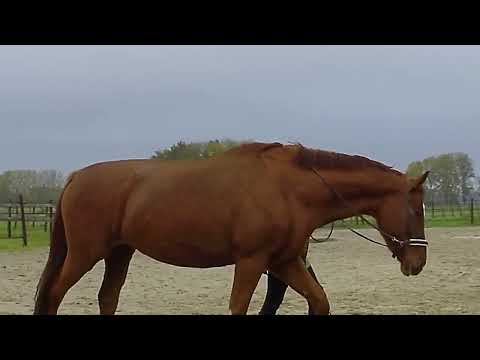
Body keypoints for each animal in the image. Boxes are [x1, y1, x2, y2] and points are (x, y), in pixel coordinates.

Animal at [34, 142, 432, 314]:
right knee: (54, 294)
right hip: (86, 254)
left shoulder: (284, 262)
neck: (287, 188)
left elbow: (319, 301)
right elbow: (239, 306)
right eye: (415, 209)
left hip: (119, 253)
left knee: (108, 297)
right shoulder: (253, 261)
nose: (417, 264)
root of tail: (76, 177)